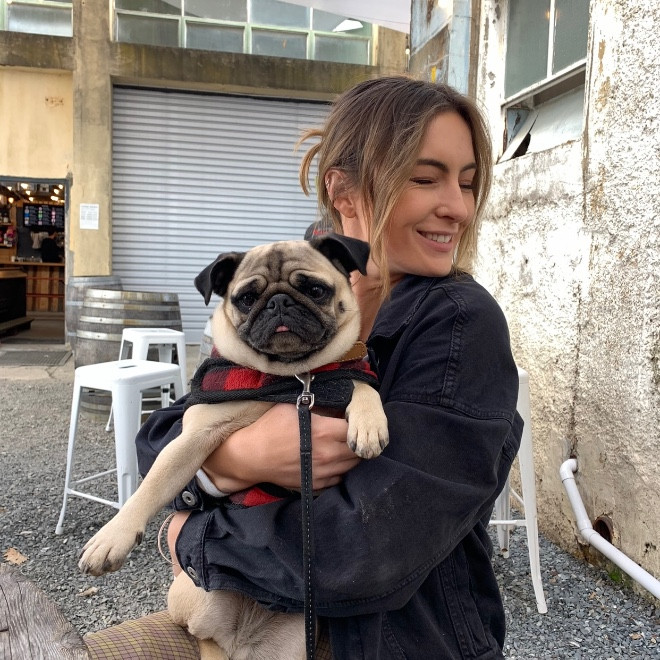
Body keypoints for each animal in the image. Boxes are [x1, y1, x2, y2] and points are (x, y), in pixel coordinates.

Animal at [78, 233, 389, 660]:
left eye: (315, 290)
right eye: (246, 298)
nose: (279, 302)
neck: (291, 379)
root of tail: (240, 639)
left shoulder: (337, 377)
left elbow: (358, 381)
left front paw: (370, 422)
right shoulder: (190, 440)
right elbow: (151, 487)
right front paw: (111, 539)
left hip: (296, 641)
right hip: (194, 595)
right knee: (200, 633)